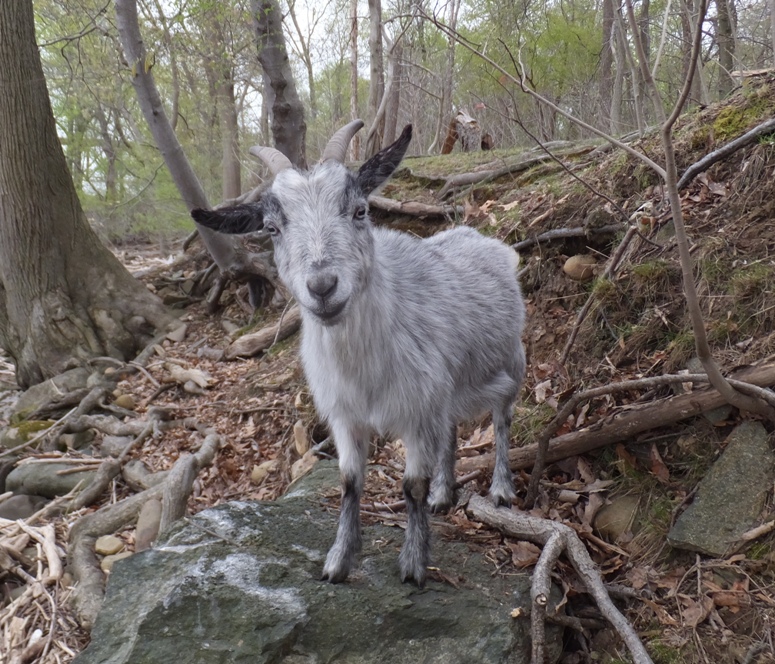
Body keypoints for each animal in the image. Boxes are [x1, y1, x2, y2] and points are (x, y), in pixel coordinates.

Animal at [192, 121, 526, 587]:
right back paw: (444, 494)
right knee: (452, 430)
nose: (322, 287)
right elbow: (350, 481)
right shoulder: (347, 414)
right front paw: (338, 561)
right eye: (272, 228)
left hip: (511, 363)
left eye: (360, 211)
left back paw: (501, 490)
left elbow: (411, 486)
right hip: (447, 388)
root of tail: (484, 239)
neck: (363, 367)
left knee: (501, 422)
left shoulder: (416, 412)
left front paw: (413, 565)